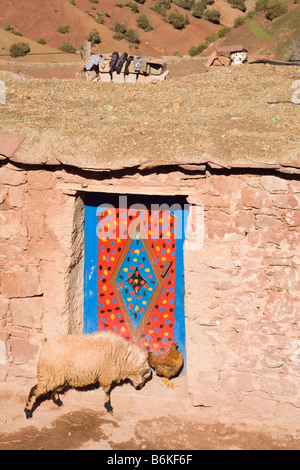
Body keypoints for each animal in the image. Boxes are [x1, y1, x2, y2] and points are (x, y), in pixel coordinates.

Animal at [23, 330, 151, 418]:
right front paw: (108, 407)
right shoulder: (106, 375)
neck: (123, 358)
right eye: (144, 378)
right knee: (34, 390)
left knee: (53, 389)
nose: (139, 388)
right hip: (50, 374)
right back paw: (28, 412)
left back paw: (58, 402)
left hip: (57, 376)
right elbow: (107, 392)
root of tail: (44, 350)